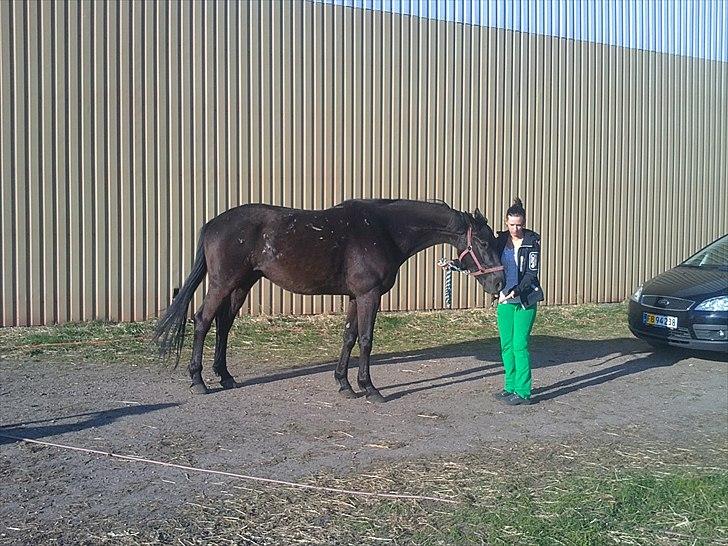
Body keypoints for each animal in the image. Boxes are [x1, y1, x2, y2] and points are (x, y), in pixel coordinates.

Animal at [155, 199, 506, 400]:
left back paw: (225, 376)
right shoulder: (369, 295)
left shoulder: (355, 296)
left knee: (224, 324)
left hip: (242, 283)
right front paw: (369, 388)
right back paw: (198, 380)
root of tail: (212, 224)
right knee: (203, 320)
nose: (500, 281)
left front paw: (344, 384)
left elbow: (349, 337)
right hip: (223, 283)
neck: (384, 230)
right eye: (484, 242)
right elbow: (365, 340)